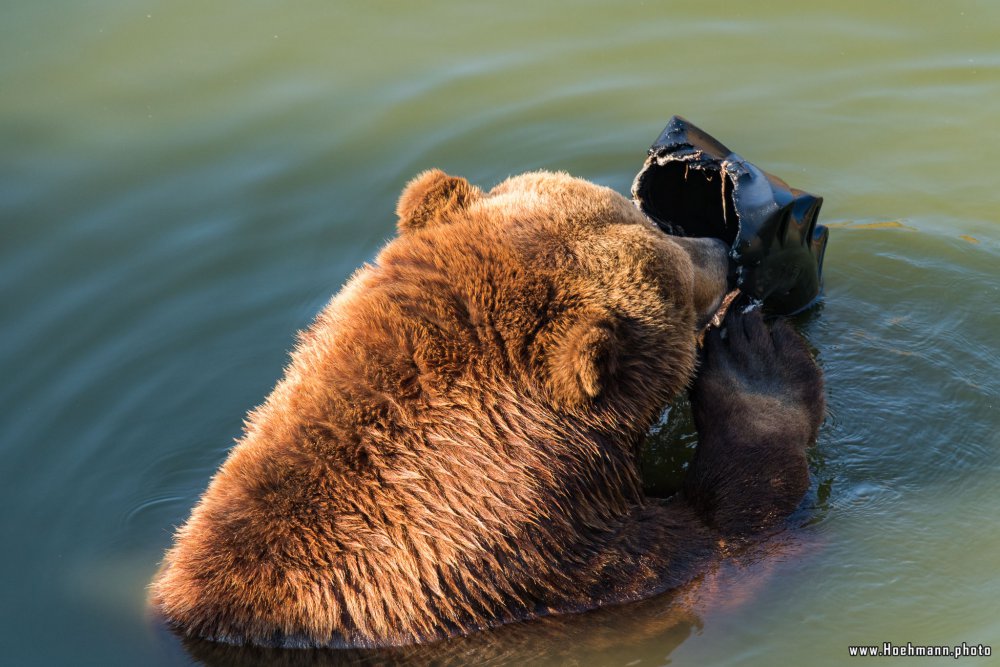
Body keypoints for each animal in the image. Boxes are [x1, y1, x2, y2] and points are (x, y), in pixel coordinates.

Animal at [146, 170, 820, 648]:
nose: (720, 248)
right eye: (678, 275)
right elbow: (727, 544)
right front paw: (758, 358)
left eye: (649, 221)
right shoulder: (550, 582)